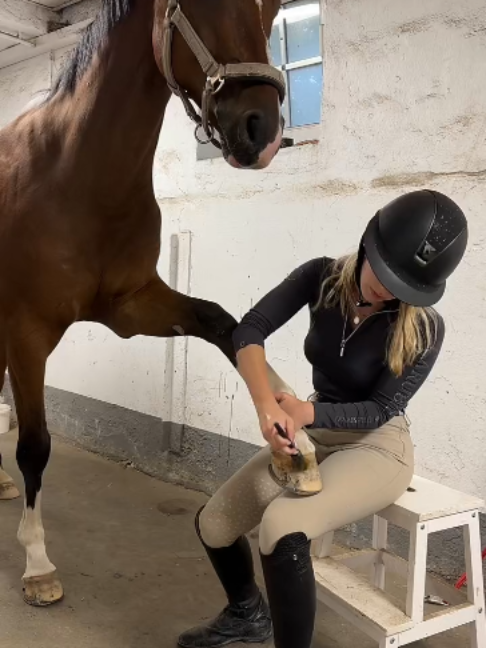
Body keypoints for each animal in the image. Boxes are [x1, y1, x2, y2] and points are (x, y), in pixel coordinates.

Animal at [0, 0, 293, 607]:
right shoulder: (27, 331)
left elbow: (223, 323)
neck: (72, 173)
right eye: (204, 4)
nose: (263, 130)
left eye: (273, 9)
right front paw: (37, 563)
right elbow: (34, 446)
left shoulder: (133, 307)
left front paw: (288, 421)